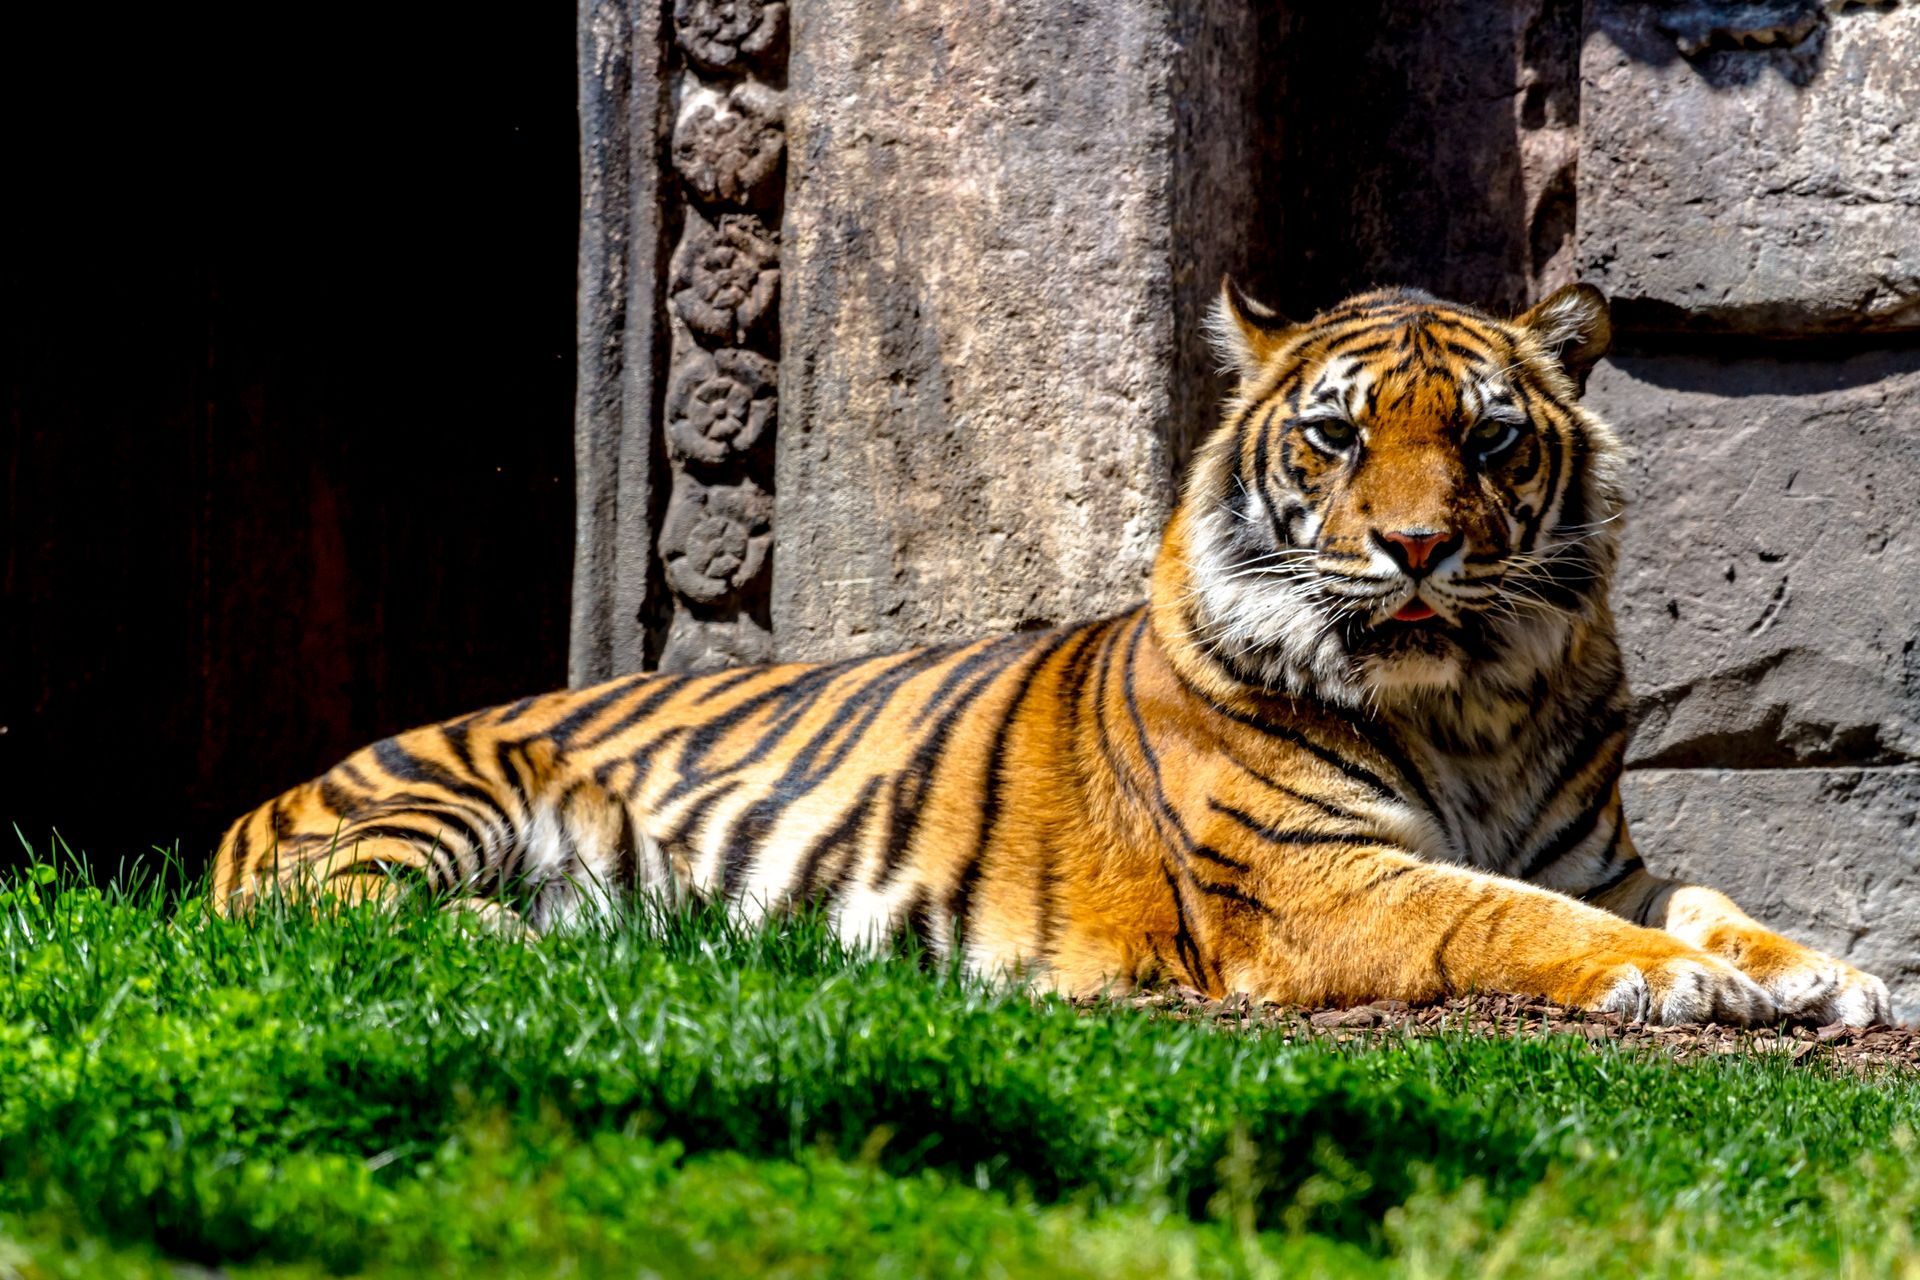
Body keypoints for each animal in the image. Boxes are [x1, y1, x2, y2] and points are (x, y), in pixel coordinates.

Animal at [212, 280, 1893, 1028]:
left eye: (1485, 441)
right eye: (1337, 436)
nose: (1419, 548)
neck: (1469, 702)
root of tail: (256, 801)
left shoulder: (1593, 851)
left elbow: (1710, 897)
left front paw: (1828, 973)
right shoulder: (1313, 885)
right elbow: (1502, 919)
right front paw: (1681, 985)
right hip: (458, 791)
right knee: (334, 917)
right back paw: (526, 938)